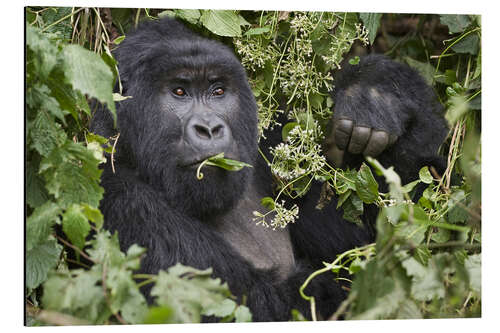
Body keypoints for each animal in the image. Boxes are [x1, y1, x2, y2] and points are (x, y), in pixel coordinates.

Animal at [91, 16, 450, 322]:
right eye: (179, 91)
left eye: (218, 91)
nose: (209, 128)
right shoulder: (123, 201)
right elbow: (269, 303)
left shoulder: (272, 151)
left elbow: (381, 241)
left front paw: (379, 91)